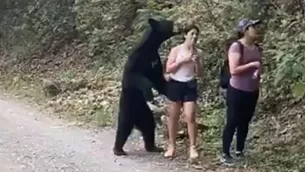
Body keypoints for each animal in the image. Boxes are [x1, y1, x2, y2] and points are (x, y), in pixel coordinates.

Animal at [113, 18, 182, 157]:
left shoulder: (155, 61)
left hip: (145, 114)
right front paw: (149, 91)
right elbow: (135, 77)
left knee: (149, 126)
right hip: (127, 110)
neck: (150, 49)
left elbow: (159, 81)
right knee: (123, 128)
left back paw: (153, 147)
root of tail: (136, 119)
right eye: (168, 22)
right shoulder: (136, 60)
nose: (177, 23)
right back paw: (118, 149)